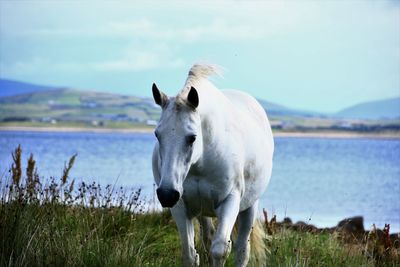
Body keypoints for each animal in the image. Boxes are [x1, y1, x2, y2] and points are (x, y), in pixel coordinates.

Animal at [152, 63, 274, 266]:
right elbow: (190, 254)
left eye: (192, 137)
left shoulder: (230, 201)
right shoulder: (180, 206)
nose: (167, 194)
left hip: (249, 206)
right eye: (157, 134)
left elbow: (220, 250)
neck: (201, 162)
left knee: (242, 249)